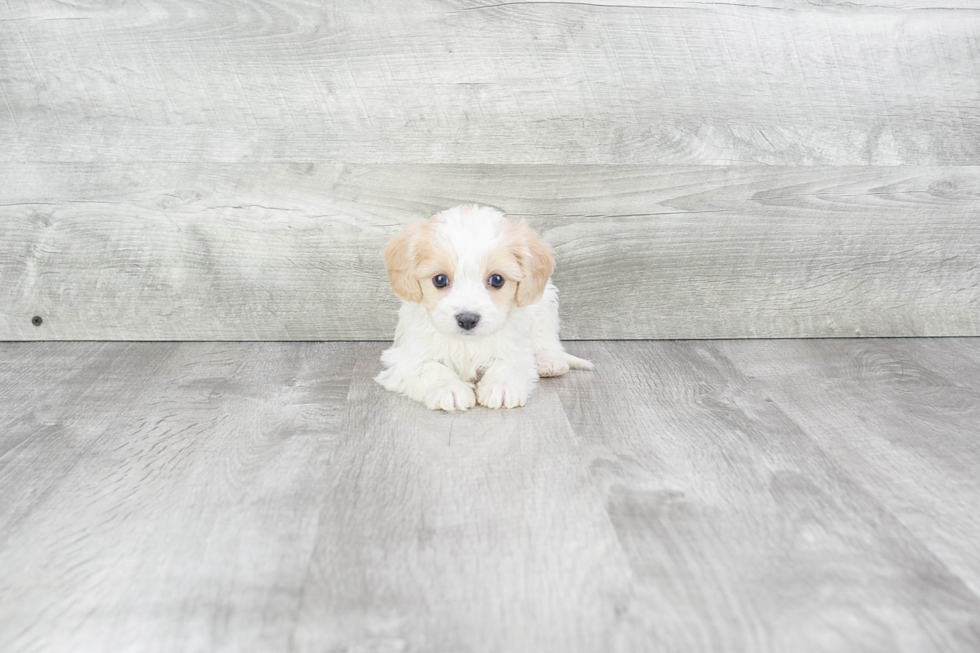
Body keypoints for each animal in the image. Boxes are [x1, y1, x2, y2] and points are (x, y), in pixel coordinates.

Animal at [374, 204, 588, 410]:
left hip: (544, 302)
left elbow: (507, 363)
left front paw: (501, 387)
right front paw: (449, 389)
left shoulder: (515, 348)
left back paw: (549, 361)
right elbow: (431, 368)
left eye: (497, 280)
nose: (467, 319)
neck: (467, 343)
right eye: (440, 279)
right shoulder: (406, 358)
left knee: (547, 339)